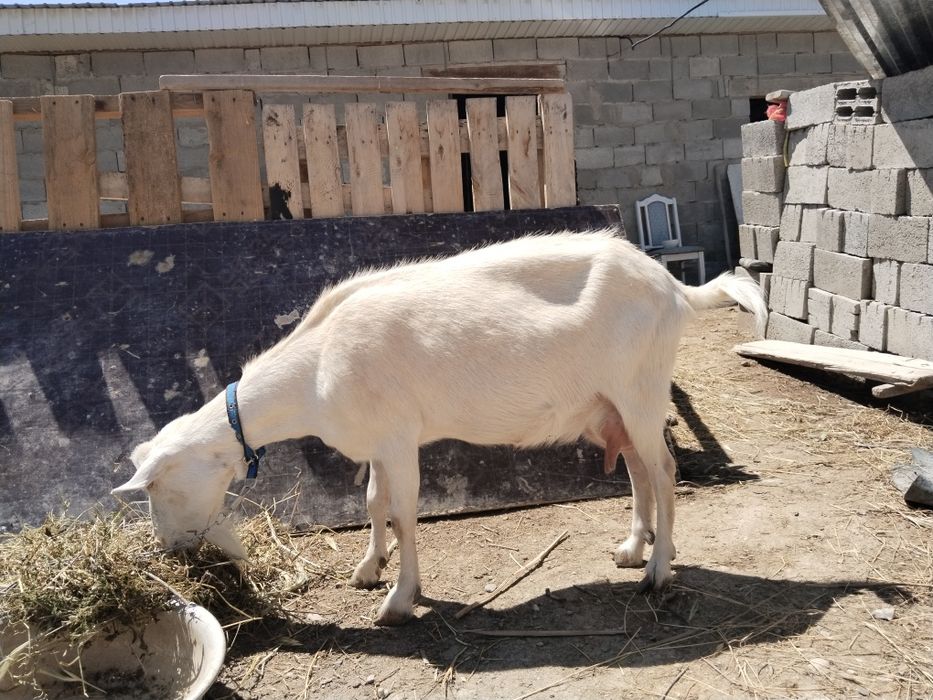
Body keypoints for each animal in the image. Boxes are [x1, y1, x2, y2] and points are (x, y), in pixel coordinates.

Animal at [113, 229, 767, 626]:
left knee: (664, 469)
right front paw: (368, 569)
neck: (317, 367)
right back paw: (633, 548)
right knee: (636, 468)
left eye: (157, 488)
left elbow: (404, 512)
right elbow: (373, 501)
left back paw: (658, 571)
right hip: (610, 403)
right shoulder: (379, 441)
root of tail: (674, 286)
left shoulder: (399, 438)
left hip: (641, 388)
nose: (172, 550)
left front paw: (400, 600)